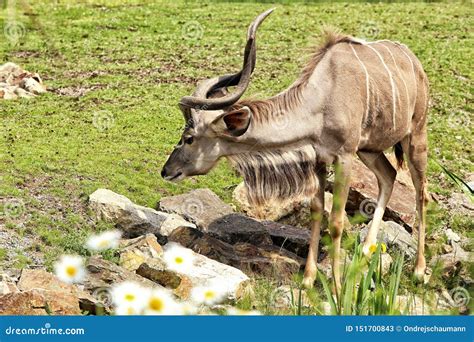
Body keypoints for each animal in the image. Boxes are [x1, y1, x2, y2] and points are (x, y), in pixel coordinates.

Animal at [162, 8, 430, 288]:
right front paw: (308, 280)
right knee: (389, 176)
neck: (322, 97)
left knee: (422, 192)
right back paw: (367, 253)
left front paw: (336, 287)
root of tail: (414, 61)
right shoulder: (320, 157)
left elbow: (336, 221)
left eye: (189, 137)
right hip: (369, 150)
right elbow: (316, 211)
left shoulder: (344, 157)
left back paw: (419, 271)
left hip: (415, 136)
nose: (166, 170)